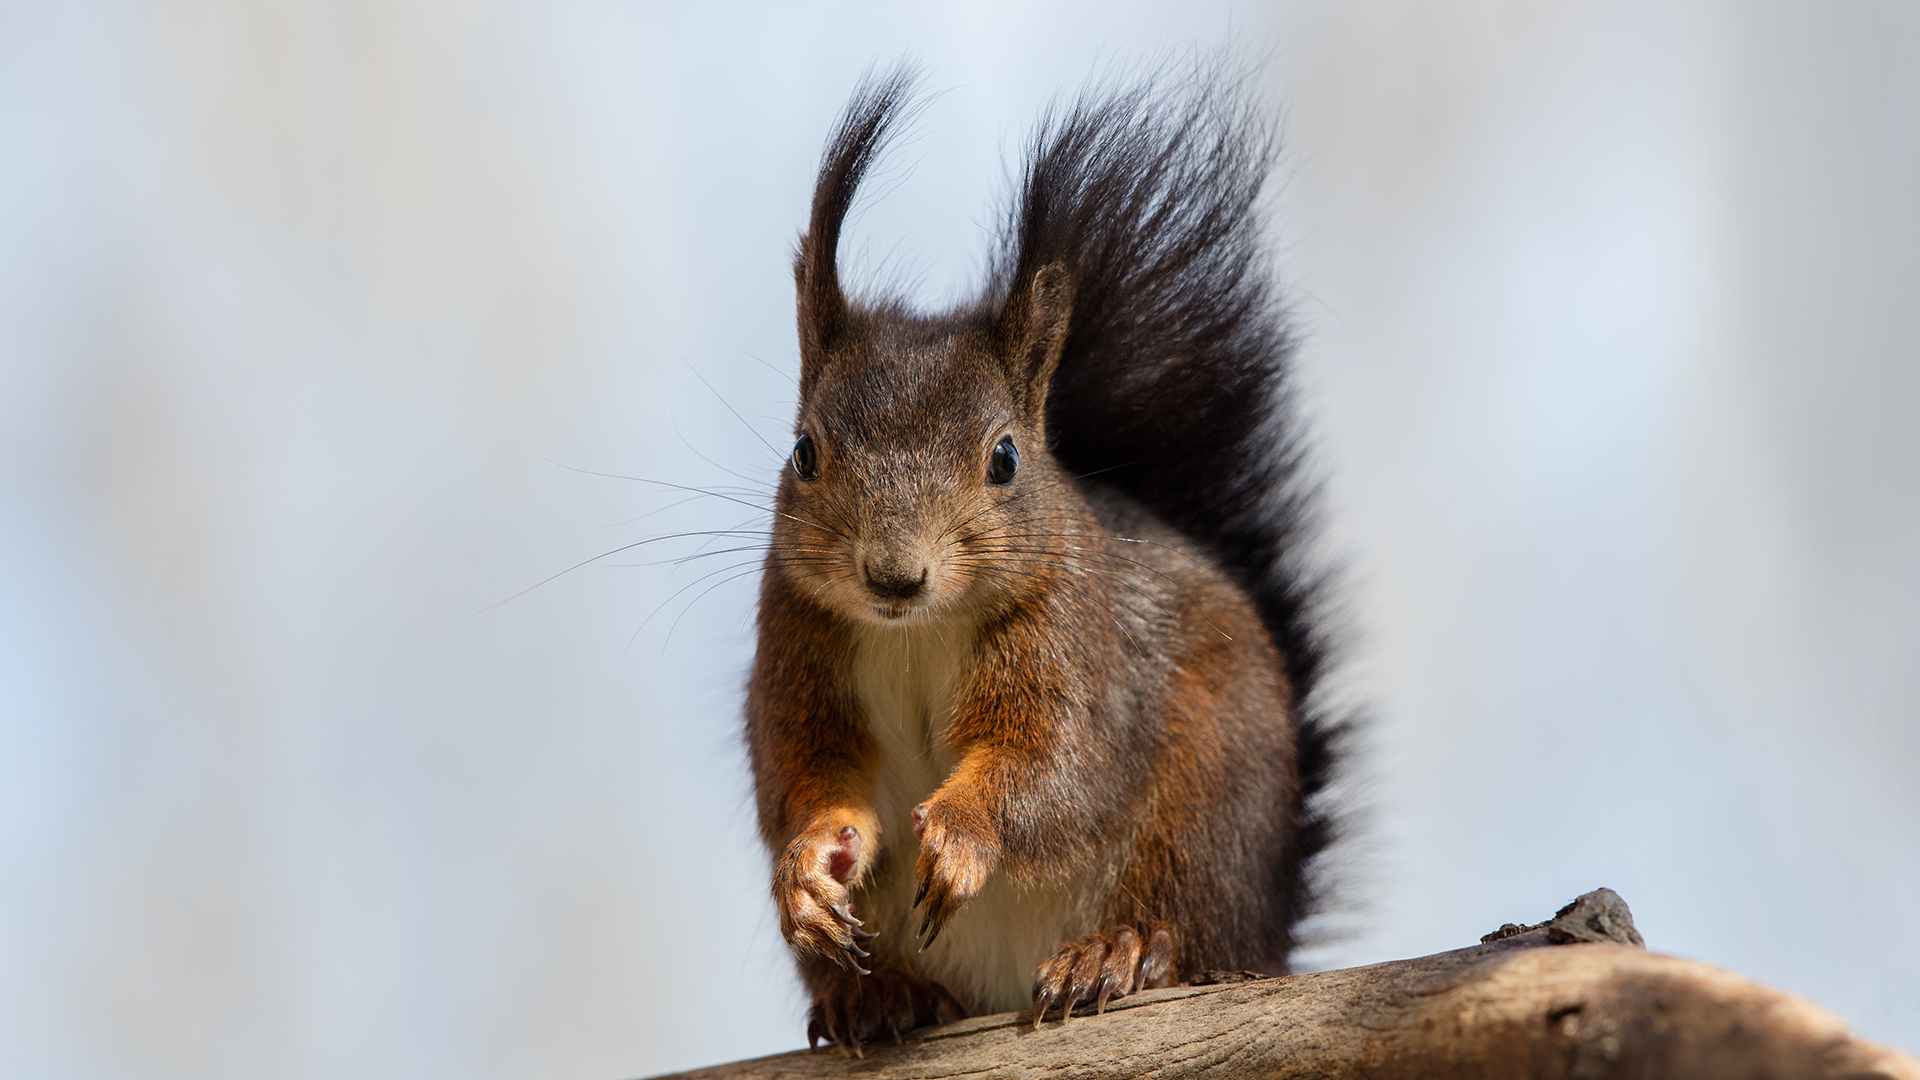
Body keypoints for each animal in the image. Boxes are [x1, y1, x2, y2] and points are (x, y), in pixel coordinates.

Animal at [744, 62, 1336, 1045]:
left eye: (1006, 459)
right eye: (804, 452)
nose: (894, 576)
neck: (915, 633)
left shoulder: (1078, 652)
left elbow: (1057, 769)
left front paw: (962, 832)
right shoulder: (800, 648)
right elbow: (808, 772)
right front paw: (809, 863)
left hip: (1210, 814)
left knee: (1179, 912)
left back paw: (1119, 950)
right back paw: (878, 995)